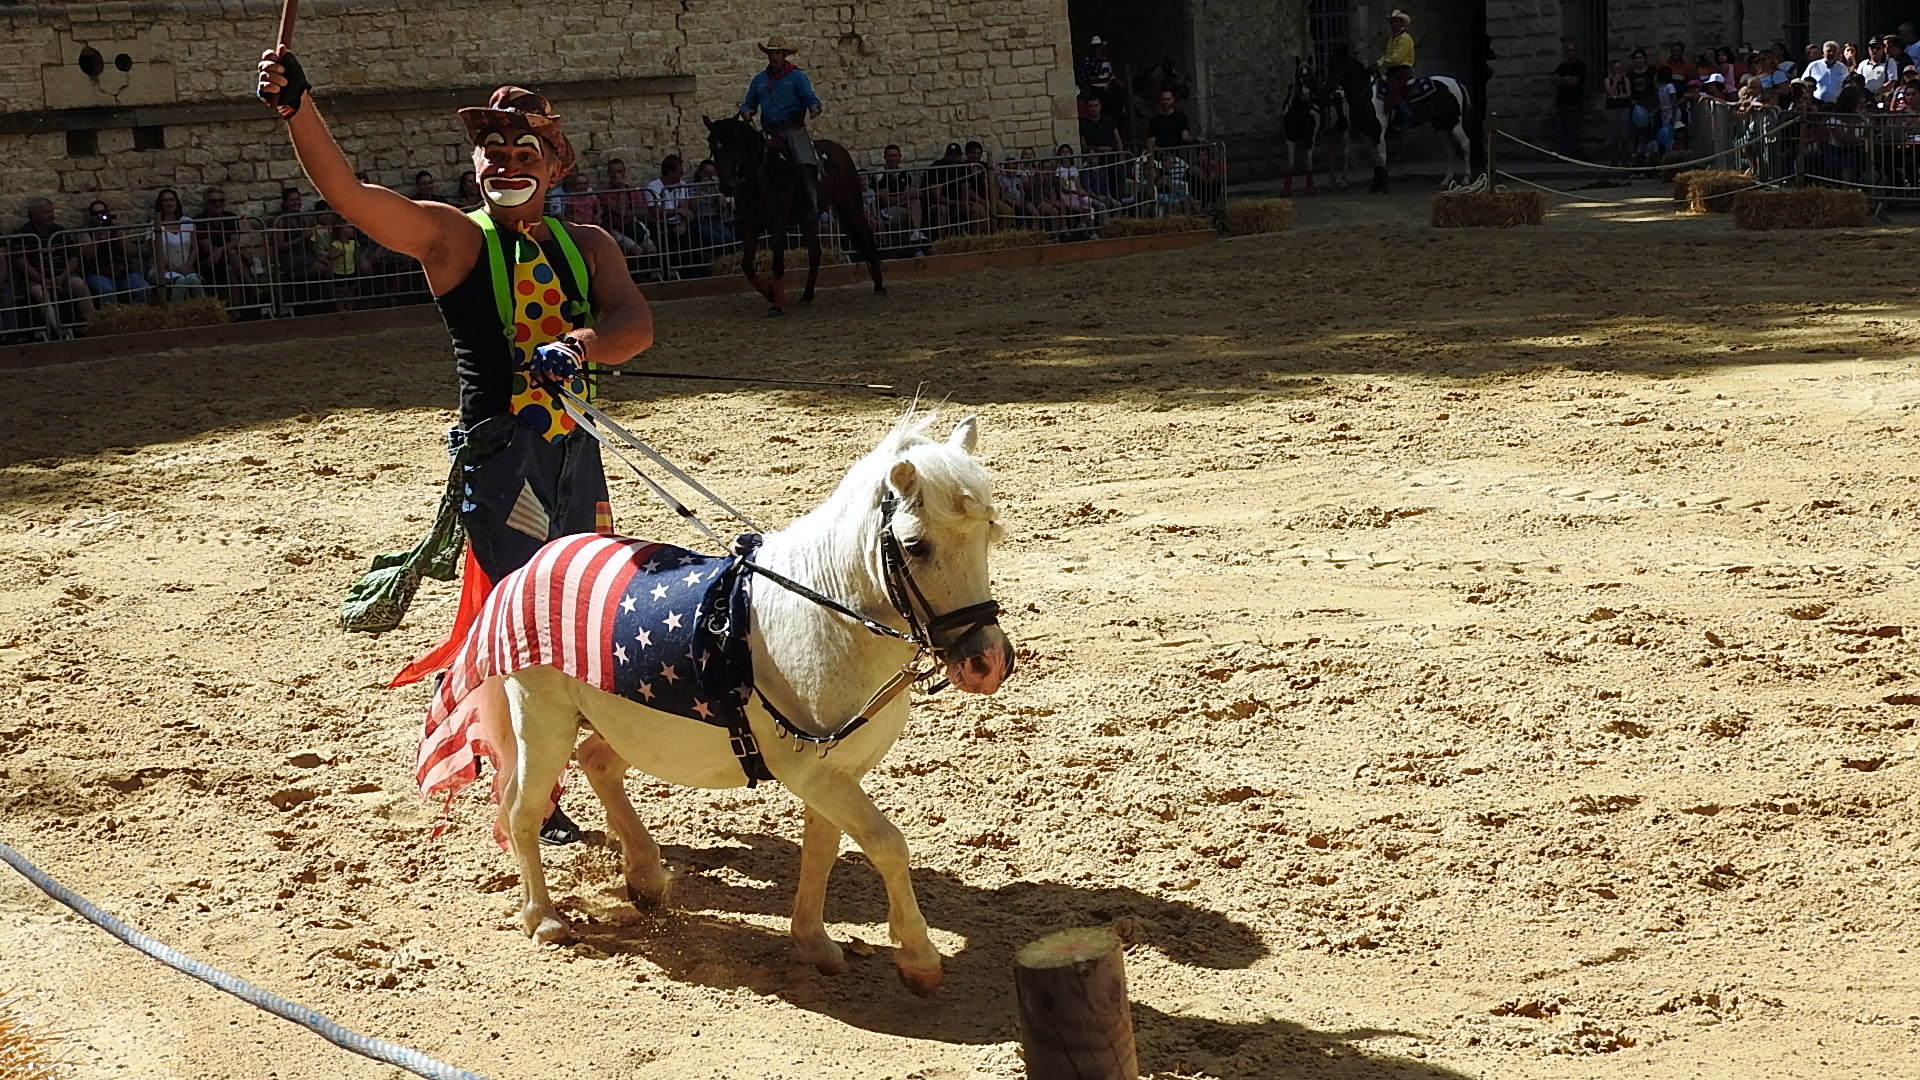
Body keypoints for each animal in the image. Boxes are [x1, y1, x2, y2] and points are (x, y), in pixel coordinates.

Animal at [414, 413, 1013, 998]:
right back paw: (543, 918)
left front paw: (814, 942)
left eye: (988, 531)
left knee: (596, 761)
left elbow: (821, 848)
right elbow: (888, 844)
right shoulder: (813, 772)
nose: (987, 661)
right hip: (543, 723)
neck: (827, 617)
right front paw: (918, 957)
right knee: (522, 808)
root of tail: (534, 561)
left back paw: (646, 879)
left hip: (628, 723)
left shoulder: (837, 770)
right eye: (915, 545)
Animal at [703, 115, 885, 316]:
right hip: (810, 221)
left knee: (866, 238)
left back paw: (879, 286)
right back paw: (807, 295)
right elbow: (747, 266)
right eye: (713, 146)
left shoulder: (777, 225)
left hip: (851, 207)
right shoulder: (750, 226)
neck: (761, 178)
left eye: (736, 143)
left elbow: (777, 265)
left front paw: (777, 303)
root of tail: (840, 151)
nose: (726, 187)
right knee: (815, 254)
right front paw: (770, 292)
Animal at [1325, 53, 1474, 192]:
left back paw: (1466, 179)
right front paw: (1374, 187)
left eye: (1338, 66)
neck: (1367, 96)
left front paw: (1382, 188)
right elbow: (1375, 161)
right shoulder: (1368, 135)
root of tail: (1456, 82)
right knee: (1450, 150)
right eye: (1329, 65)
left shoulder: (1379, 133)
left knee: (1465, 144)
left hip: (1455, 123)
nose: (1327, 88)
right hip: (1441, 126)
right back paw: (1445, 181)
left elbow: (1382, 158)